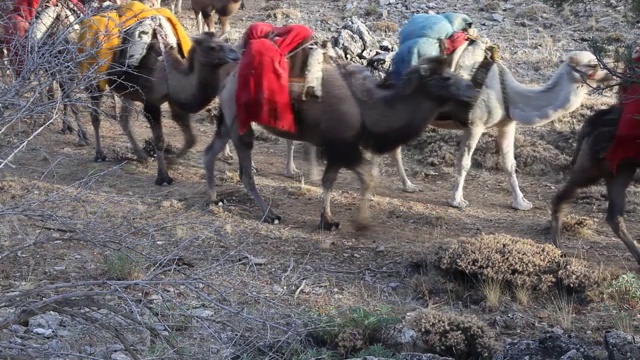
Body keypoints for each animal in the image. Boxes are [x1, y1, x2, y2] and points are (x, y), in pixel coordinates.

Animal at [195, 33, 480, 228]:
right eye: (446, 78)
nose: (473, 91)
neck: (368, 107)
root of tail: (229, 80)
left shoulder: (339, 148)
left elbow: (330, 181)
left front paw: (328, 219)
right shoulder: (342, 147)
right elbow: (366, 177)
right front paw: (360, 222)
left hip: (227, 120)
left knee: (210, 152)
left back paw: (213, 199)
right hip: (240, 124)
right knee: (244, 172)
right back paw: (270, 214)